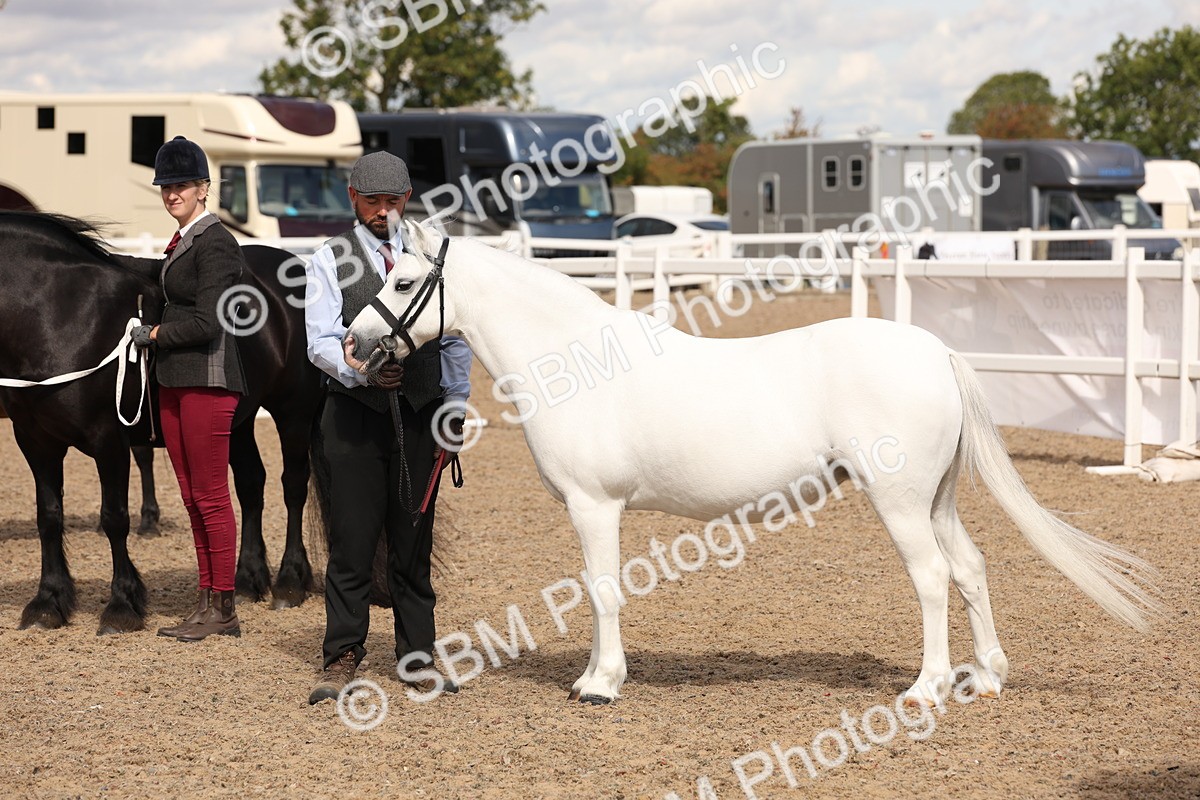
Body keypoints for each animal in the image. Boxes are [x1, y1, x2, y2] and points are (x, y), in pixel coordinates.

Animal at [0, 211, 323, 634]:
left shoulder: (109, 442)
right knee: (252, 486)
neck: (59, 315)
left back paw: (289, 582)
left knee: (293, 487)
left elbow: (114, 518)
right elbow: (49, 518)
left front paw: (121, 606)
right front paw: (47, 604)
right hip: (238, 421)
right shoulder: (36, 442)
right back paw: (246, 580)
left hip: (293, 410)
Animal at [344, 218, 1161, 706]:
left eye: (404, 281)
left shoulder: (593, 506)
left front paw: (599, 683)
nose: (355, 343)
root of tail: (935, 351)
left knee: (931, 578)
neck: (577, 360)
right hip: (937, 500)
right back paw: (986, 676)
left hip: (900, 501)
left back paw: (926, 688)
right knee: (970, 569)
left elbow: (602, 592)